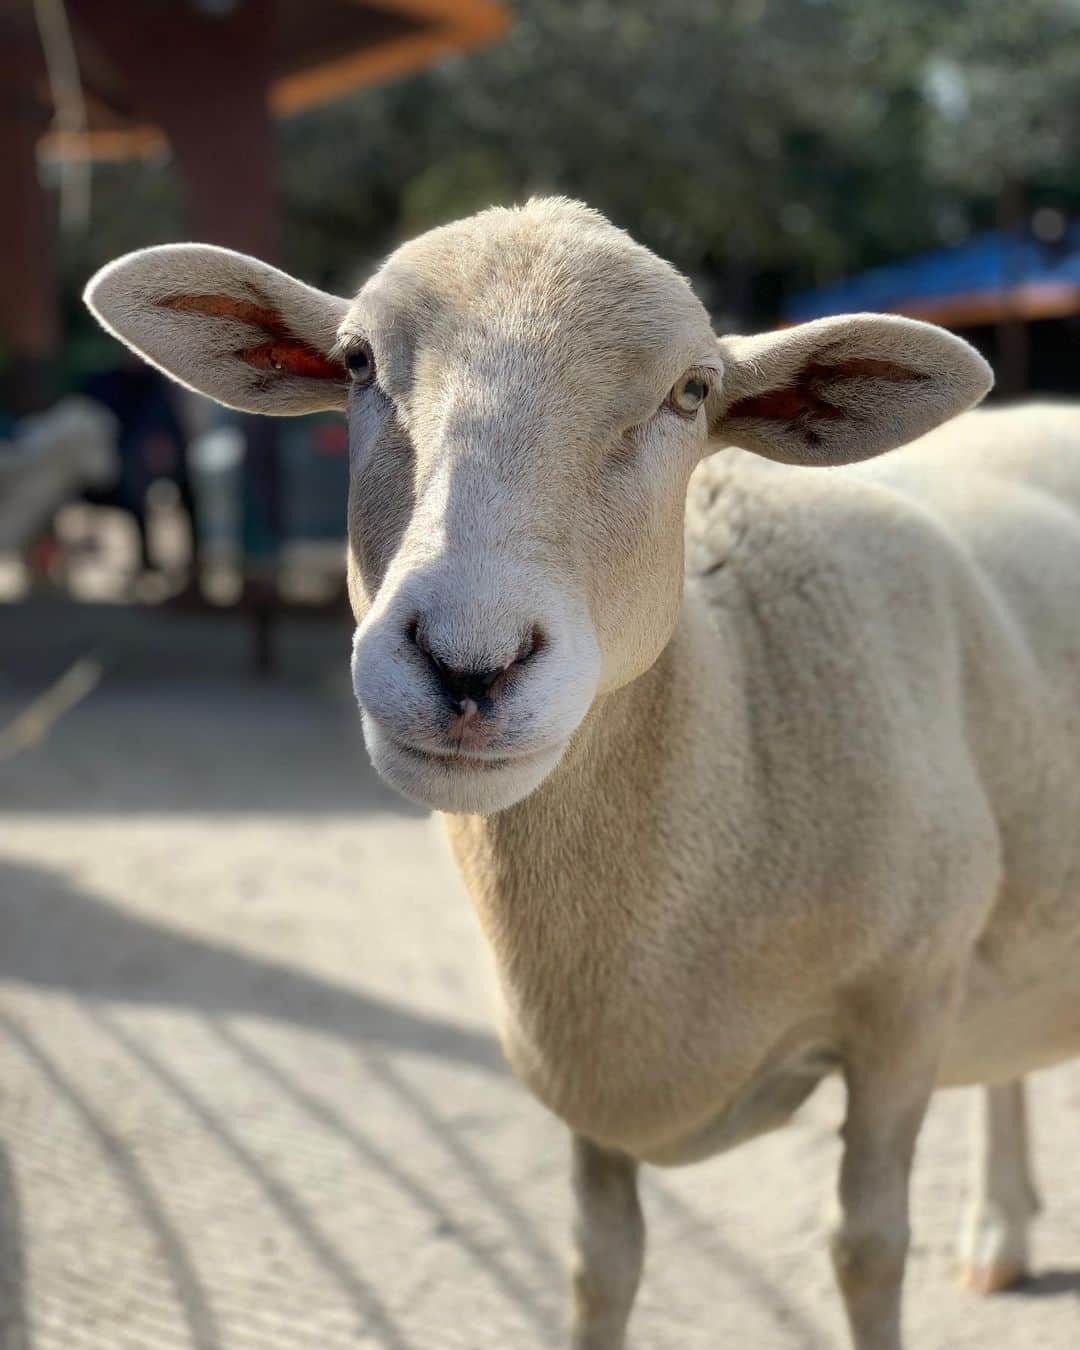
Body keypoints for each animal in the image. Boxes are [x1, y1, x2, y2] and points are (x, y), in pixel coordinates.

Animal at [84, 198, 1080, 1350]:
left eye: (691, 392)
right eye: (357, 361)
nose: (468, 662)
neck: (734, 727)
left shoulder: (903, 1008)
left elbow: (866, 1250)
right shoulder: (579, 1077)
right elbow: (599, 1267)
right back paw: (1002, 1231)